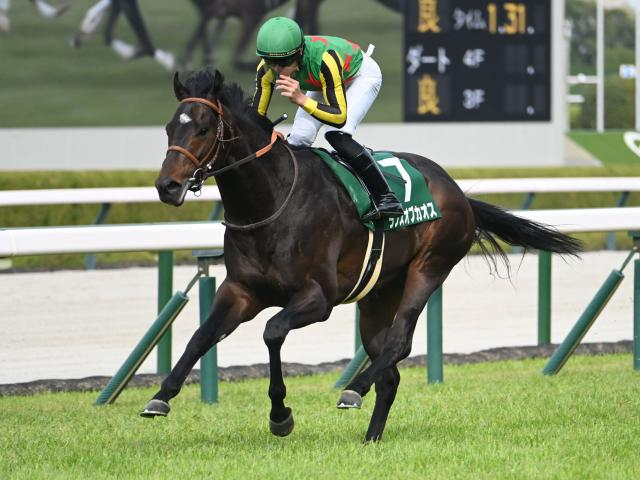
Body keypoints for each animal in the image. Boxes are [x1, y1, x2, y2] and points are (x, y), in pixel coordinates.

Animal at [143, 69, 582, 442]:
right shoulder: (241, 291)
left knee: (399, 342)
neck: (270, 201)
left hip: (429, 267)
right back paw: (371, 436)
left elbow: (272, 332)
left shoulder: (318, 297)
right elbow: (202, 335)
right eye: (168, 128)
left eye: (203, 128)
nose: (167, 186)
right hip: (377, 295)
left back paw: (354, 389)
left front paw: (280, 415)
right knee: (390, 371)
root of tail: (457, 191)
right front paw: (161, 396)